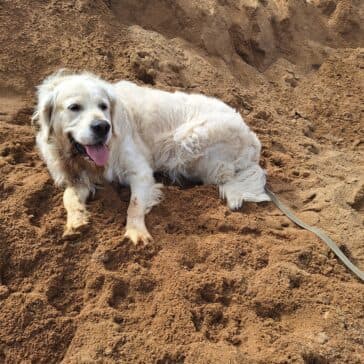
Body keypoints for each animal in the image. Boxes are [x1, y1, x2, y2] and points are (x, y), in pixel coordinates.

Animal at [32, 69, 270, 243]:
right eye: (74, 107)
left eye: (104, 106)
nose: (103, 127)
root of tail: (252, 140)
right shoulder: (78, 177)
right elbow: (68, 197)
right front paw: (76, 219)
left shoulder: (141, 172)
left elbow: (135, 204)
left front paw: (136, 232)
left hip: (187, 139)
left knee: (225, 176)